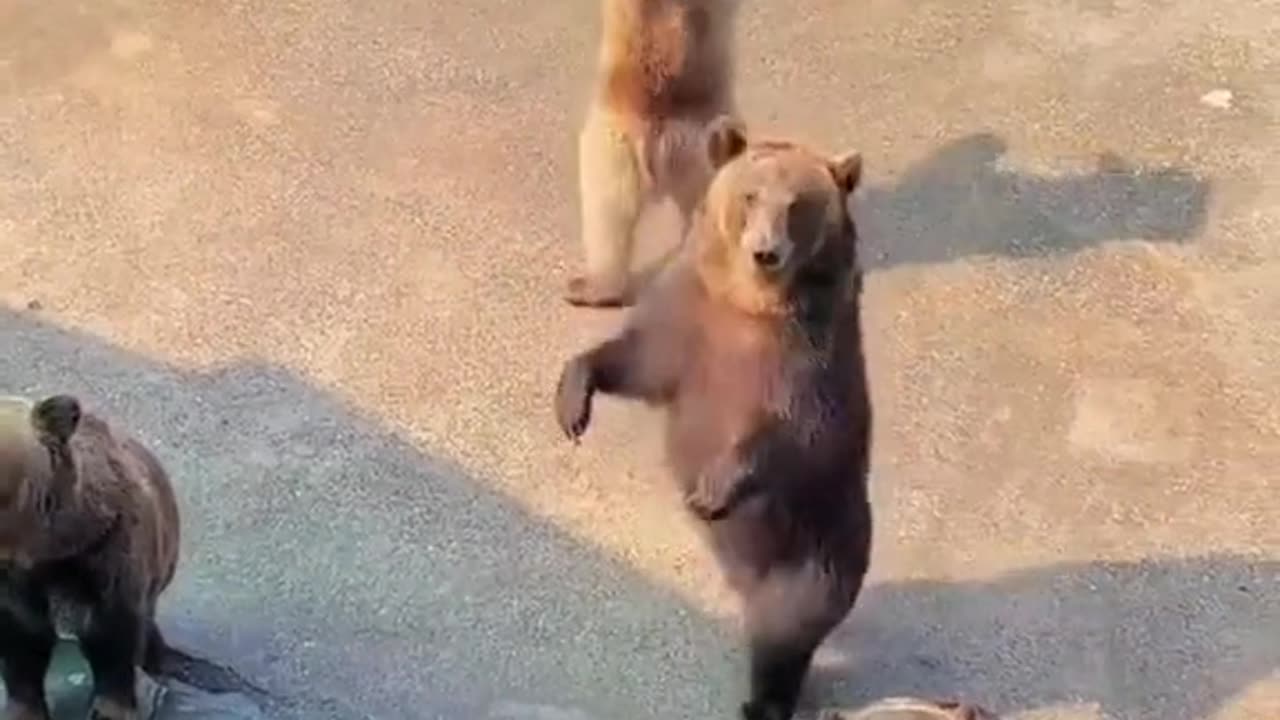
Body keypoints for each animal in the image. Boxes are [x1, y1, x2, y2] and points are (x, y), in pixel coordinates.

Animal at [1, 392, 183, 717]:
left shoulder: (108, 553)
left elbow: (113, 635)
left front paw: (112, 707)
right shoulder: (19, 576)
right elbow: (23, 636)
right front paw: (24, 708)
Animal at [555, 113, 875, 717]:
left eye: (797, 205)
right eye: (750, 195)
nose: (766, 252)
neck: (751, 304)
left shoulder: (807, 356)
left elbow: (795, 430)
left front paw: (711, 490)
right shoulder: (690, 317)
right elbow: (640, 361)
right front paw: (573, 404)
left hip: (816, 553)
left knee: (785, 634)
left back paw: (764, 701)